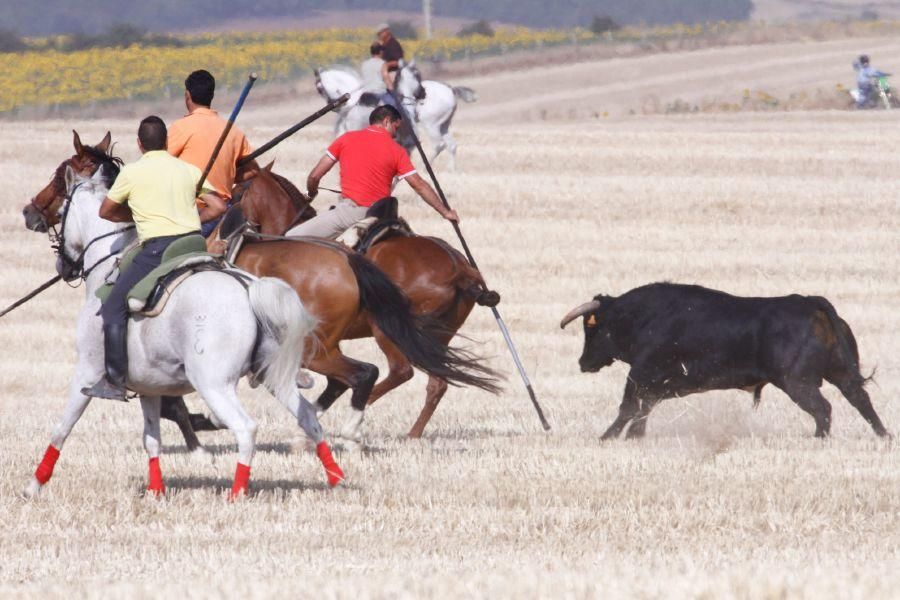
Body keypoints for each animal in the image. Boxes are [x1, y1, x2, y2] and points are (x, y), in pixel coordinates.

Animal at [22, 164, 344, 502]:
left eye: (61, 207)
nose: (62, 265)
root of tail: (249, 288)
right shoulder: (149, 387)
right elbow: (152, 439)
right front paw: (156, 490)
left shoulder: (86, 371)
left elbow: (62, 429)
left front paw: (34, 484)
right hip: (272, 376)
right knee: (308, 416)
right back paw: (336, 478)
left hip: (214, 384)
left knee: (246, 428)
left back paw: (237, 493)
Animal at [214, 166, 502, 438]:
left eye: (238, 193)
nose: (219, 228)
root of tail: (460, 269)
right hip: (439, 336)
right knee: (436, 383)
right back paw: (411, 434)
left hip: (387, 329)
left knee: (401, 370)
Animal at [314, 59, 474, 169]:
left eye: (319, 88)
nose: (332, 105)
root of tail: (451, 89)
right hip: (443, 125)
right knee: (451, 145)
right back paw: (451, 169)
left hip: (431, 125)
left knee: (439, 145)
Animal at [560, 282, 888, 440]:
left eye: (592, 328)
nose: (582, 363)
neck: (642, 317)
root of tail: (811, 302)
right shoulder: (658, 383)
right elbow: (645, 408)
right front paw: (633, 437)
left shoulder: (641, 373)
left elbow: (629, 407)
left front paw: (608, 437)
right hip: (840, 371)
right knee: (860, 399)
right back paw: (884, 436)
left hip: (798, 383)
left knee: (824, 408)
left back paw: (818, 440)